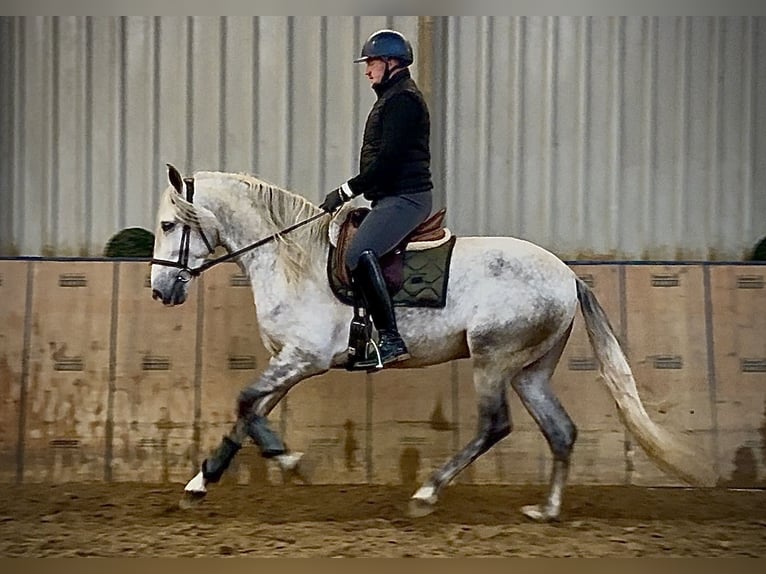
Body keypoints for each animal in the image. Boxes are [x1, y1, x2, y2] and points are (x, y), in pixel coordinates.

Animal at [149, 164, 715, 521]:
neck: (292, 258)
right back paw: (547, 510)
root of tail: (568, 276)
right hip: (529, 371)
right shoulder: (288, 360)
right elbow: (250, 411)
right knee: (561, 431)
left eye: (168, 224)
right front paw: (201, 483)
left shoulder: (304, 358)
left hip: (492, 358)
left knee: (495, 426)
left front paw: (289, 462)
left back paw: (426, 492)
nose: (160, 291)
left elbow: (246, 402)